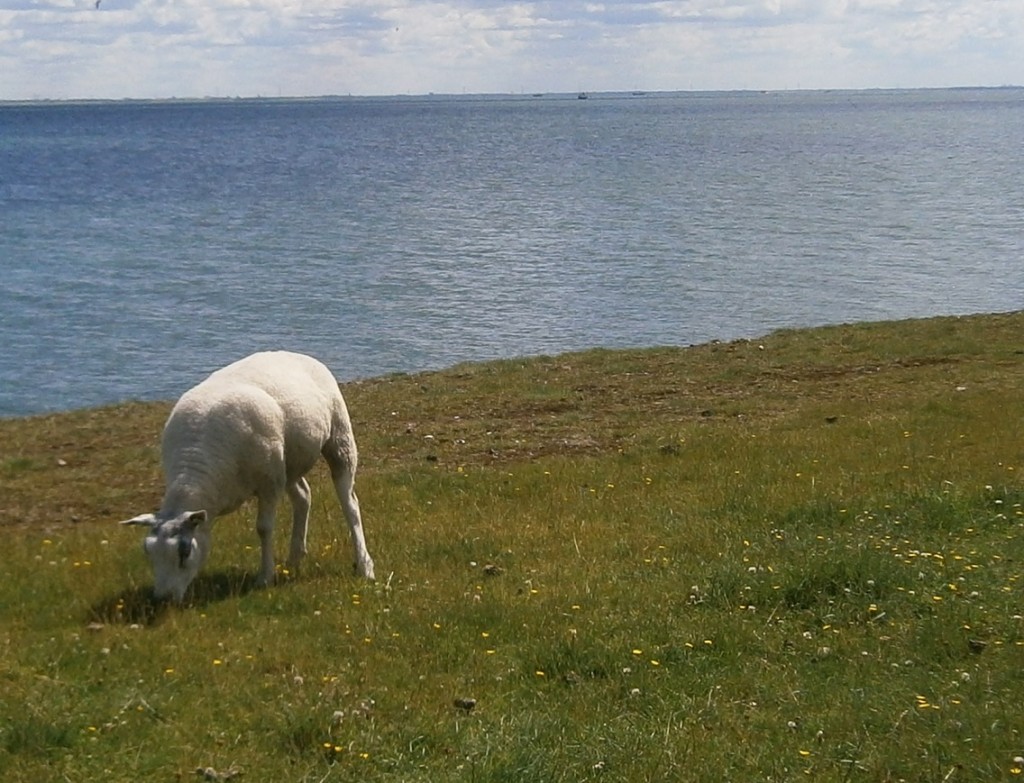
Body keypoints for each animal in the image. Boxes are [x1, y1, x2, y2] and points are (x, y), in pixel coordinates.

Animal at [120, 352, 376, 601]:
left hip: (337, 437)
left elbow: (263, 528)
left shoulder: (269, 481)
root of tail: (296, 354)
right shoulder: (274, 474)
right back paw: (294, 558)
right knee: (304, 496)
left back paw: (364, 565)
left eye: (184, 552)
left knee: (350, 504)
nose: (162, 599)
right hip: (288, 461)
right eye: (148, 553)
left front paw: (265, 577)